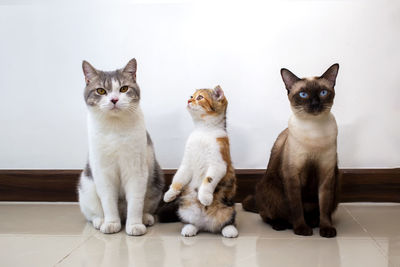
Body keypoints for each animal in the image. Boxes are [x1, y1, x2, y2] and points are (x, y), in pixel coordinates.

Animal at [76, 58, 164, 237]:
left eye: (124, 88)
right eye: (101, 91)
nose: (114, 99)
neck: (115, 128)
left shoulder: (136, 169)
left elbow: (135, 201)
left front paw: (135, 225)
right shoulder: (103, 171)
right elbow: (108, 201)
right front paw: (111, 223)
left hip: (155, 181)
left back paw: (145, 218)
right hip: (86, 186)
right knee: (93, 213)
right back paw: (100, 221)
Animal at [162, 86, 238, 239]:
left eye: (200, 97)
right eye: (191, 96)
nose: (188, 100)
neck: (203, 131)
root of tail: (206, 224)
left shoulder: (218, 162)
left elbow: (208, 179)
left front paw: (205, 196)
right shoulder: (187, 163)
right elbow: (179, 177)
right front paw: (170, 193)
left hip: (228, 208)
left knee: (228, 220)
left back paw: (229, 230)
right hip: (184, 208)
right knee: (191, 221)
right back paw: (189, 228)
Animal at [242, 64, 340, 239]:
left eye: (323, 93)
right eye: (303, 94)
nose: (315, 104)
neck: (314, 132)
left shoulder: (326, 174)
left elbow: (324, 208)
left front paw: (326, 229)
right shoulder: (292, 175)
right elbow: (296, 207)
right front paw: (301, 229)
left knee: (319, 212)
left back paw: (313, 222)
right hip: (267, 187)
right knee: (267, 215)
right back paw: (282, 225)